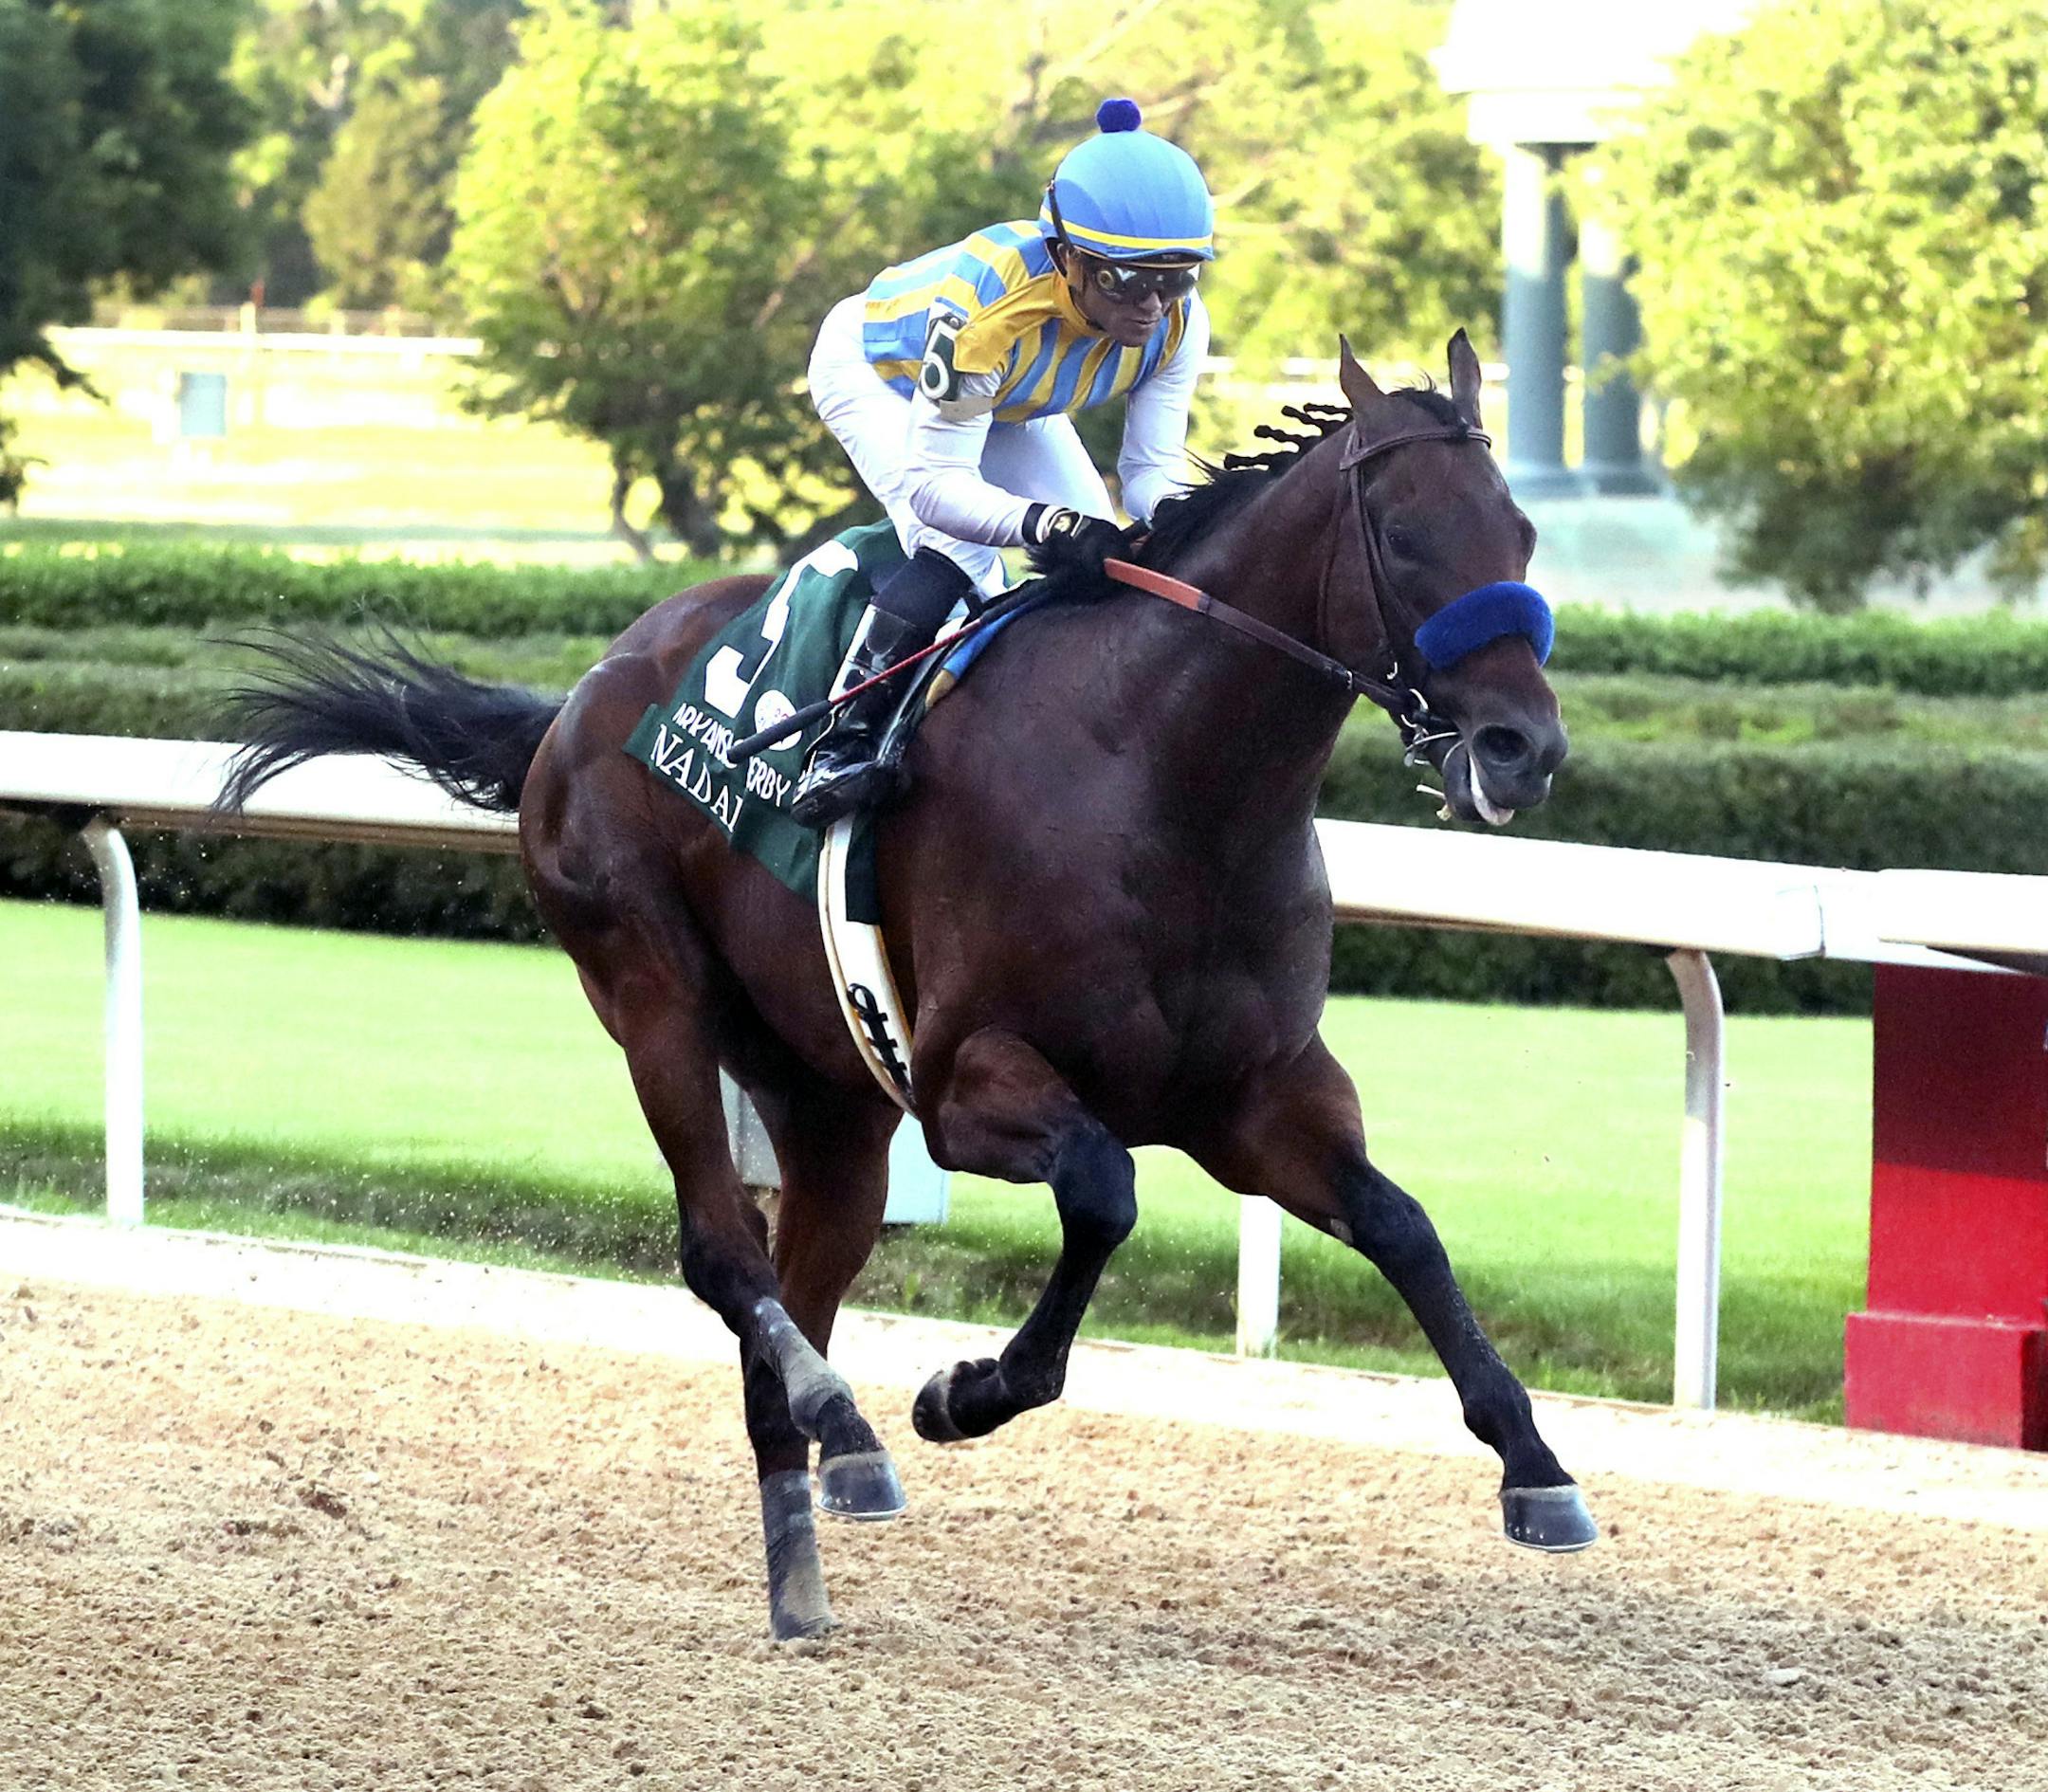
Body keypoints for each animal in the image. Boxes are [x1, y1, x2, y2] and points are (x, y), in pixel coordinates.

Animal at [220, 332, 1591, 1641]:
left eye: (1523, 532)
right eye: (1406, 536)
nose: (1523, 748)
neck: (1167, 782)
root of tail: (584, 691)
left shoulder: (1258, 1097)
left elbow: (1402, 1225)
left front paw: (1536, 1463)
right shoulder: (965, 1081)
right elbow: (1104, 1189)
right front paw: (962, 1391)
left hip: (826, 1098)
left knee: (791, 1300)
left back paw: (807, 1556)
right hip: (650, 988)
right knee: (725, 1254)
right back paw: (851, 1422)